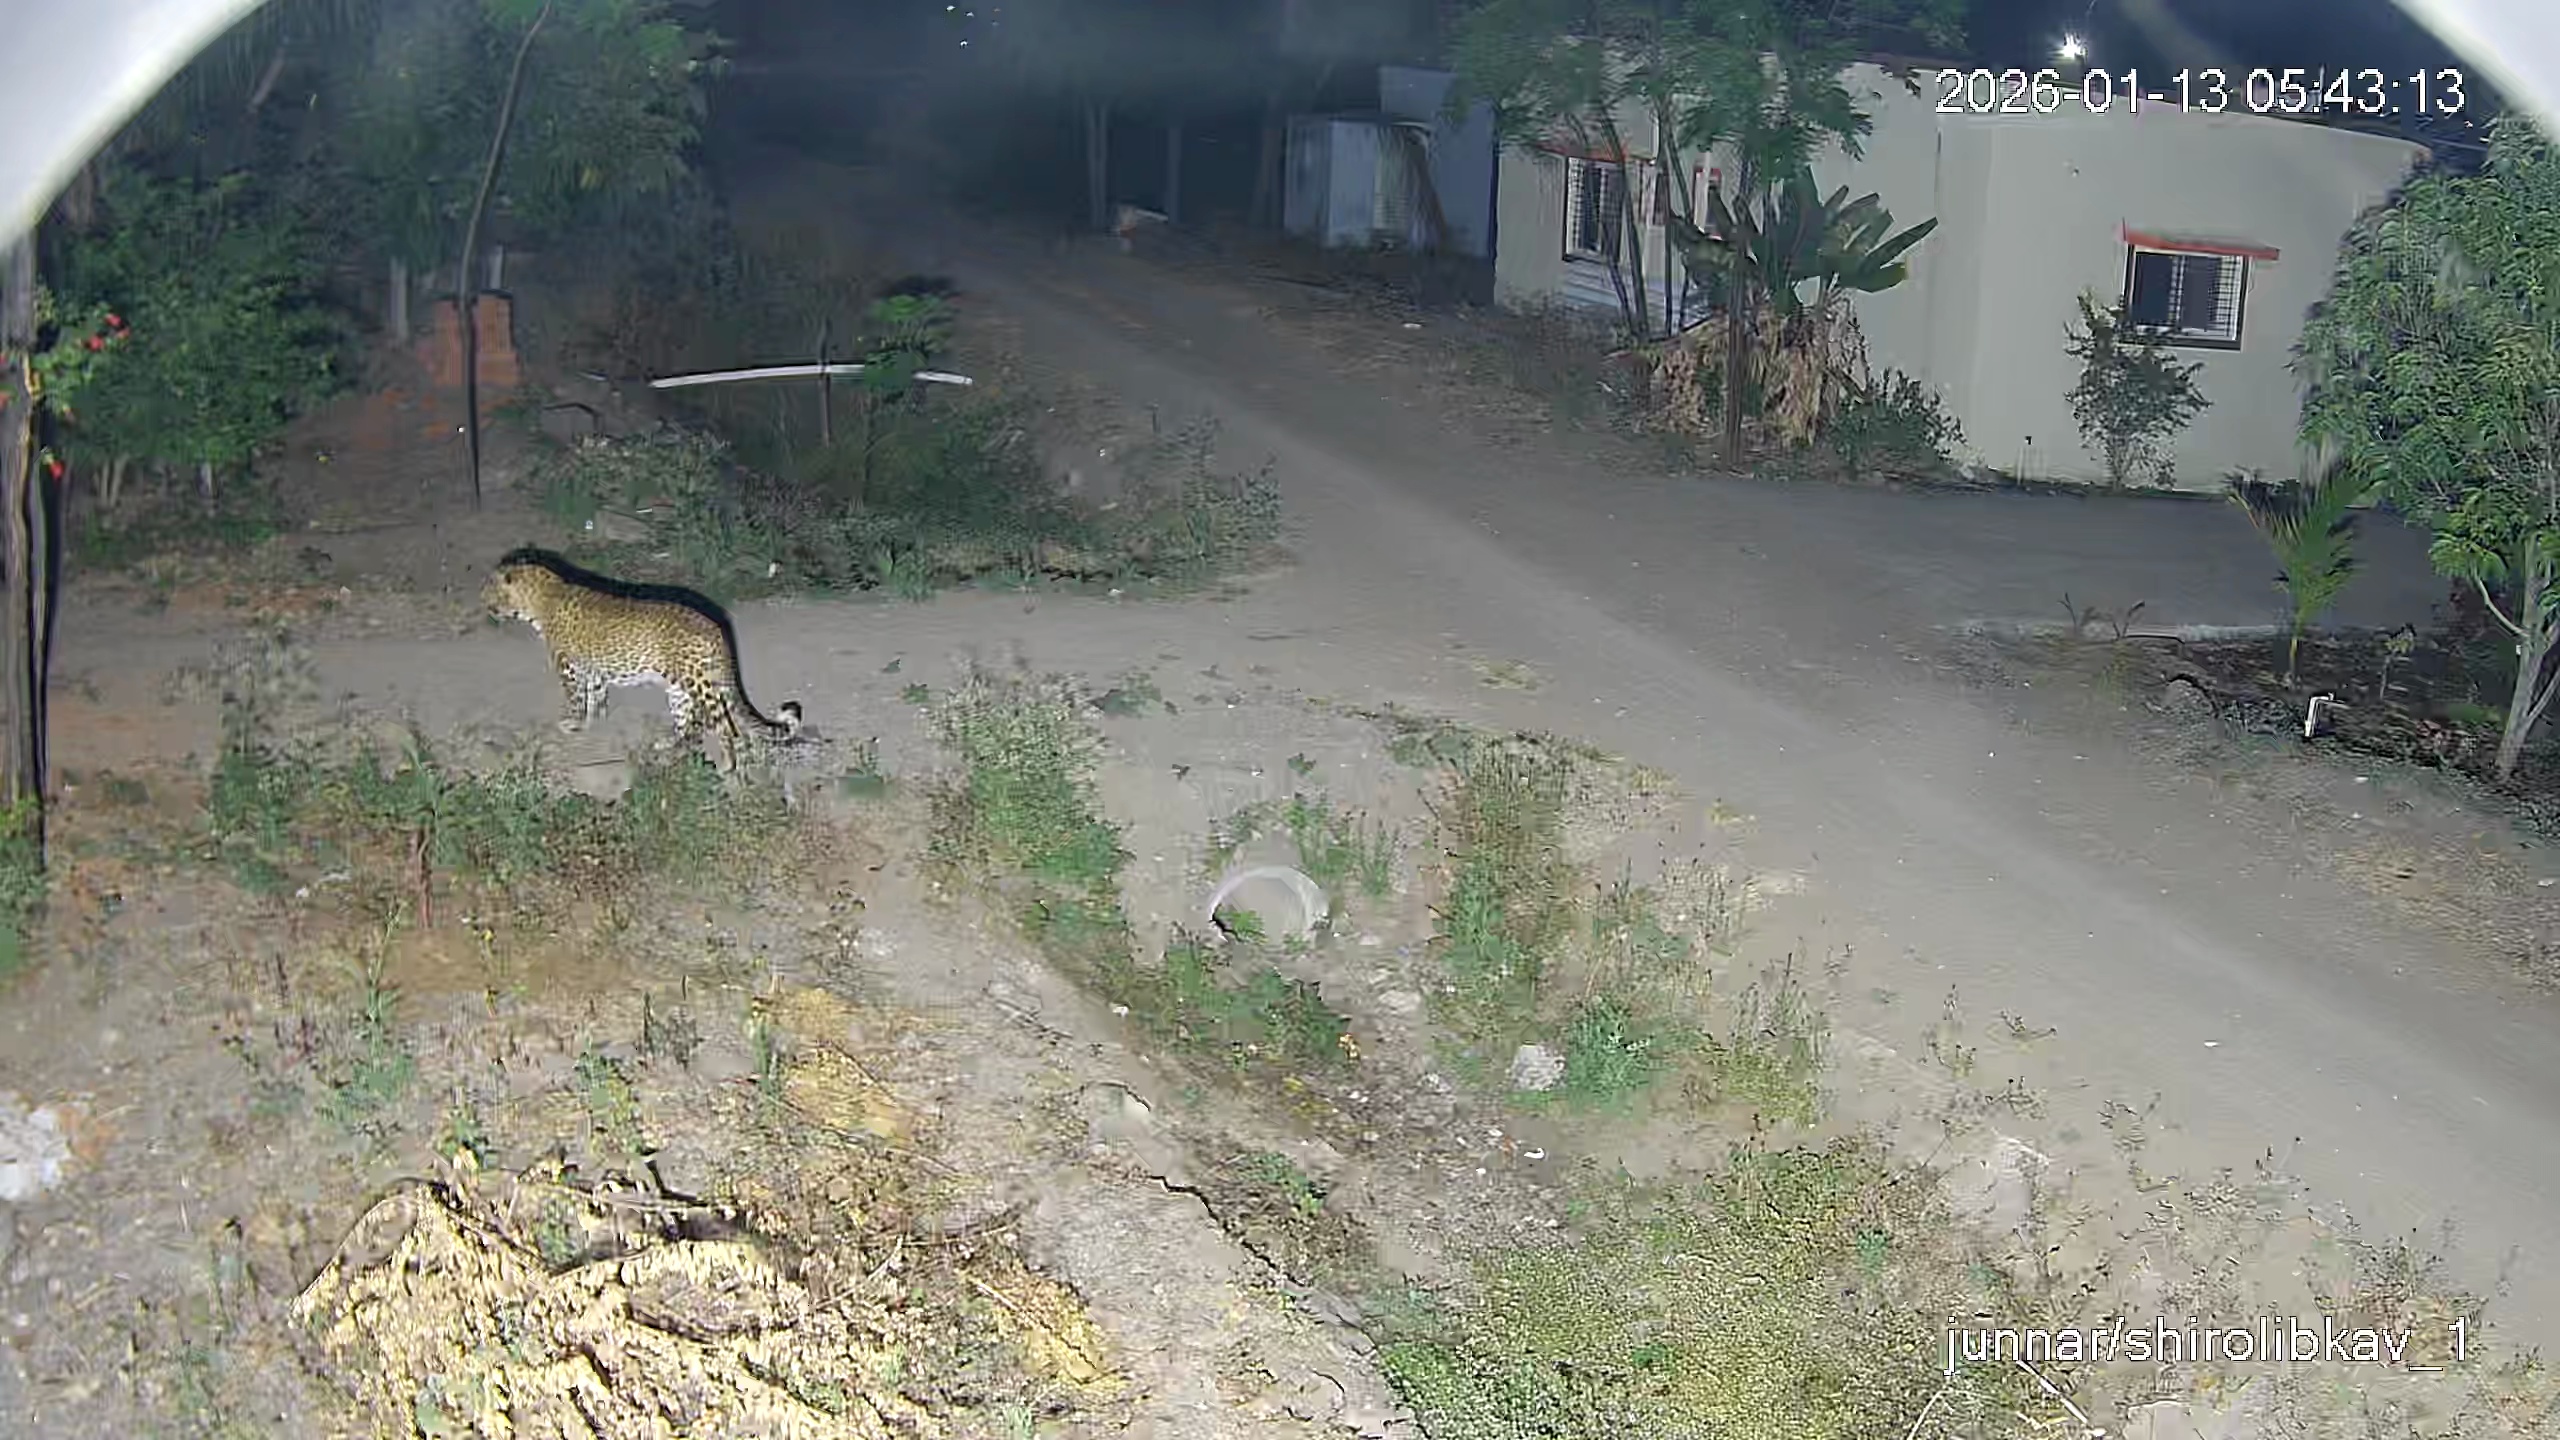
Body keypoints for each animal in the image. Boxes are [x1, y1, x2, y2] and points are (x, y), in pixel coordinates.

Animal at [481, 555, 804, 772]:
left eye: (489, 590)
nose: (485, 606)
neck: (540, 598)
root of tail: (716, 628)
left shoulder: (568, 667)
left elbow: (575, 698)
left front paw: (573, 723)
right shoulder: (593, 670)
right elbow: (596, 698)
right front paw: (595, 721)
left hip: (697, 682)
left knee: (723, 723)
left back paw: (726, 763)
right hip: (678, 689)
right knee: (688, 723)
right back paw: (670, 745)